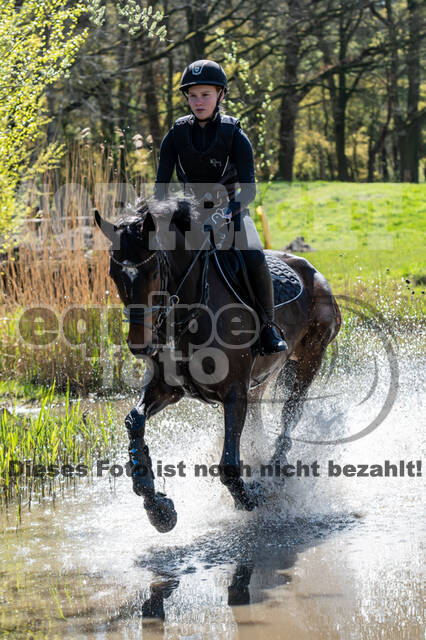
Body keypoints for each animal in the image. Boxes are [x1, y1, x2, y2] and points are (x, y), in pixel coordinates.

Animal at [95, 200, 342, 536]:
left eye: (154, 269)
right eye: (113, 273)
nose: (139, 345)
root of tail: (314, 271)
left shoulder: (234, 391)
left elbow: (227, 465)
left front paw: (251, 497)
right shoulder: (168, 388)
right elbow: (134, 421)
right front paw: (157, 507)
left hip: (310, 358)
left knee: (291, 413)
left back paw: (273, 473)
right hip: (261, 379)